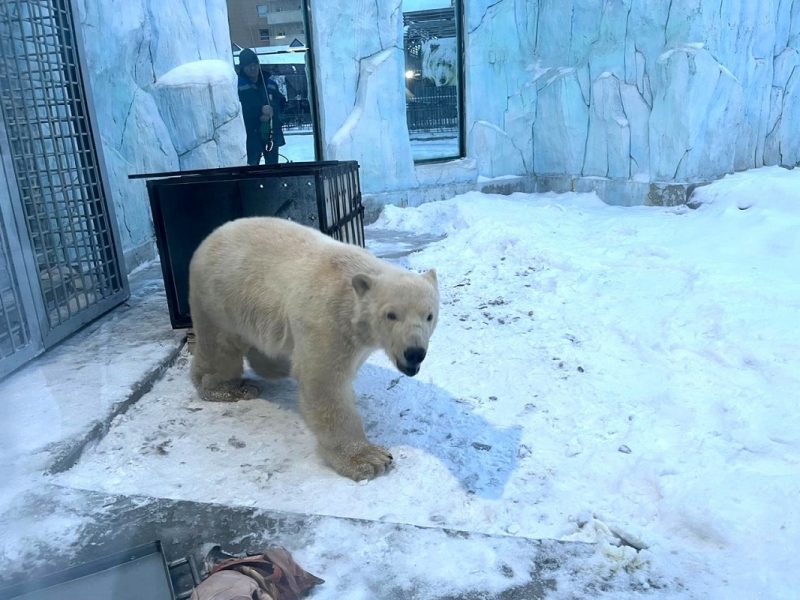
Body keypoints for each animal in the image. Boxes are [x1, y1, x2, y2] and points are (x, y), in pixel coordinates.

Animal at [188, 216, 438, 478]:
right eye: (391, 315)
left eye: (429, 315)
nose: (414, 352)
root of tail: (210, 237)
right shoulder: (327, 320)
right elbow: (324, 382)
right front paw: (369, 459)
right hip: (220, 297)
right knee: (220, 346)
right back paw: (232, 387)